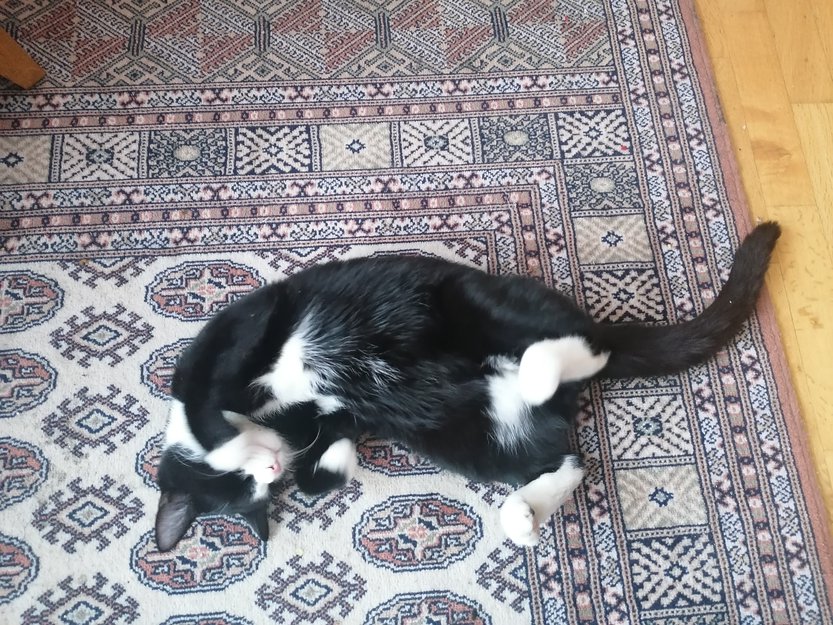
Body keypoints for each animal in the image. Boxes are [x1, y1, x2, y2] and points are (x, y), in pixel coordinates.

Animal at [154, 222, 780, 551]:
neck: (279, 418)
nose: (270, 467)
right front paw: (338, 462)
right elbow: (316, 476)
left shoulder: (237, 331)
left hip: (474, 304)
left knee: (583, 344)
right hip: (471, 437)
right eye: (251, 496)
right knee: (567, 458)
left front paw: (233, 442)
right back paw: (523, 513)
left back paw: (545, 363)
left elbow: (202, 407)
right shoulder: (328, 421)